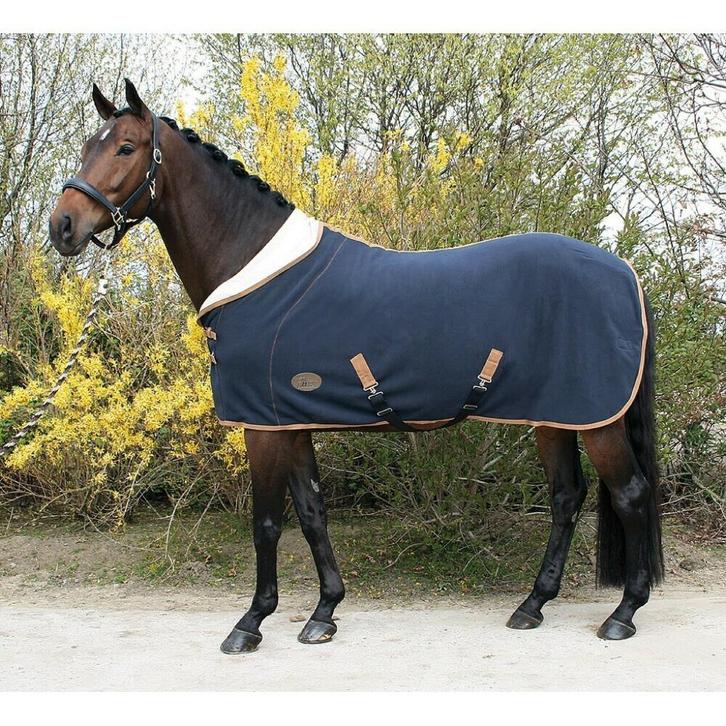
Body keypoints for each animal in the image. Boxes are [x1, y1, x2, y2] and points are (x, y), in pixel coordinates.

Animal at [49, 80, 664, 653]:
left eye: (126, 147)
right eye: (86, 146)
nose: (63, 227)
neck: (252, 266)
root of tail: (625, 273)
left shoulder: (261, 428)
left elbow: (266, 524)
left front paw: (250, 623)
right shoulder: (288, 422)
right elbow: (311, 512)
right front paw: (324, 612)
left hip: (597, 420)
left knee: (631, 494)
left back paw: (624, 613)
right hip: (554, 417)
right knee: (567, 497)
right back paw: (532, 604)